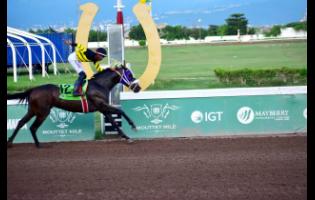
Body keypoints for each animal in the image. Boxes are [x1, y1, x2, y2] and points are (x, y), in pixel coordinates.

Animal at [6, 65, 142, 148]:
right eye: (130, 75)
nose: (138, 88)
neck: (99, 85)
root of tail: (33, 90)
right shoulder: (102, 105)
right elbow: (120, 111)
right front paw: (133, 127)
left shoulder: (102, 108)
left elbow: (114, 122)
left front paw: (127, 137)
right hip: (42, 112)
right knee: (33, 127)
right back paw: (38, 145)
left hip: (33, 110)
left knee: (21, 123)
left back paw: (10, 142)